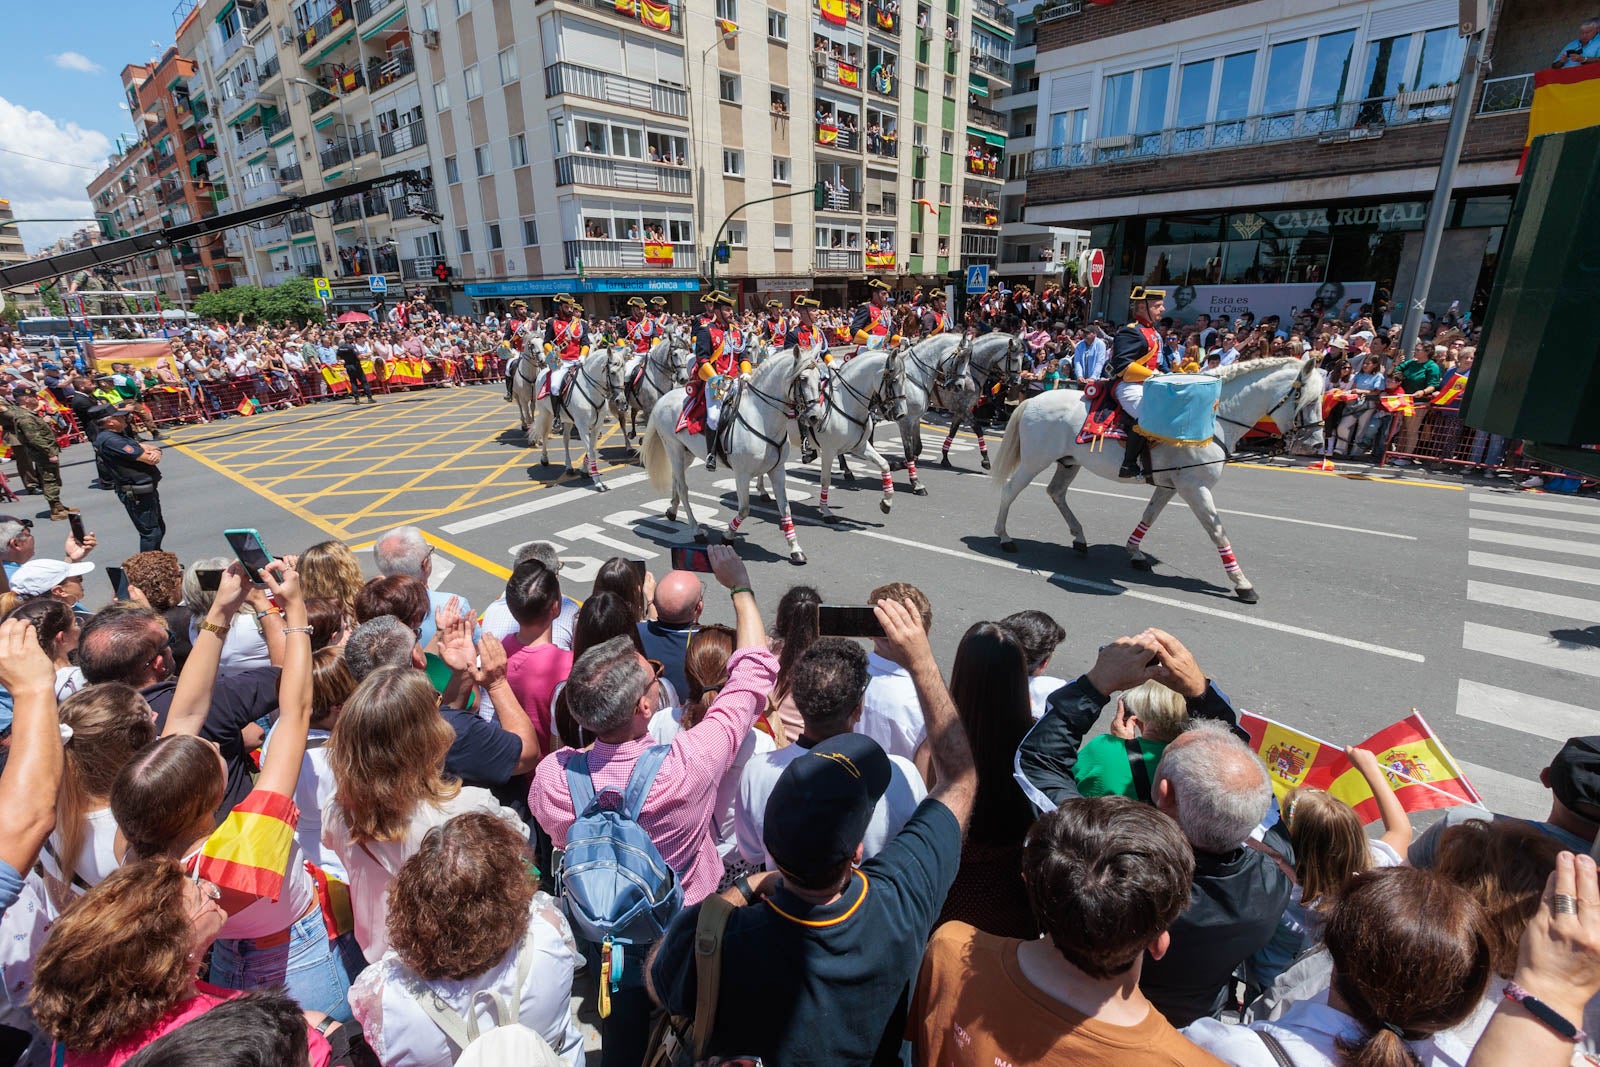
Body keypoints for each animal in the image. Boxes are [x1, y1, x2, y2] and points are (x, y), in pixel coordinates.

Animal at [521, 348, 627, 489]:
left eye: (625, 371)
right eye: (613, 372)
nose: (621, 401)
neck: (591, 391)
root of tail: (544, 371)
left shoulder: (596, 426)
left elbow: (591, 448)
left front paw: (584, 470)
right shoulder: (582, 427)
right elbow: (591, 452)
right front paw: (598, 482)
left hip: (568, 420)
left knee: (565, 440)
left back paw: (569, 466)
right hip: (546, 414)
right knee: (544, 434)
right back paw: (544, 459)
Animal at [640, 350, 825, 566]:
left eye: (820, 379)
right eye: (802, 379)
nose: (815, 417)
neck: (761, 417)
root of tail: (663, 398)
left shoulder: (777, 471)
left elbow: (785, 509)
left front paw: (796, 549)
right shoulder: (742, 474)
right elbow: (744, 509)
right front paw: (727, 536)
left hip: (686, 454)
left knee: (676, 481)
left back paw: (672, 510)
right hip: (674, 449)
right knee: (684, 489)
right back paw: (696, 531)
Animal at [985, 358, 1324, 604]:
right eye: (1303, 398)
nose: (1316, 444)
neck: (1213, 419)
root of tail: (1034, 399)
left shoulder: (1170, 487)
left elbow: (1149, 516)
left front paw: (1134, 552)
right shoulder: (1194, 488)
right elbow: (1217, 532)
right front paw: (1242, 584)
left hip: (1069, 463)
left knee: (1056, 493)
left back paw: (1079, 539)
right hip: (1035, 461)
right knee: (1011, 490)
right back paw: (1004, 537)